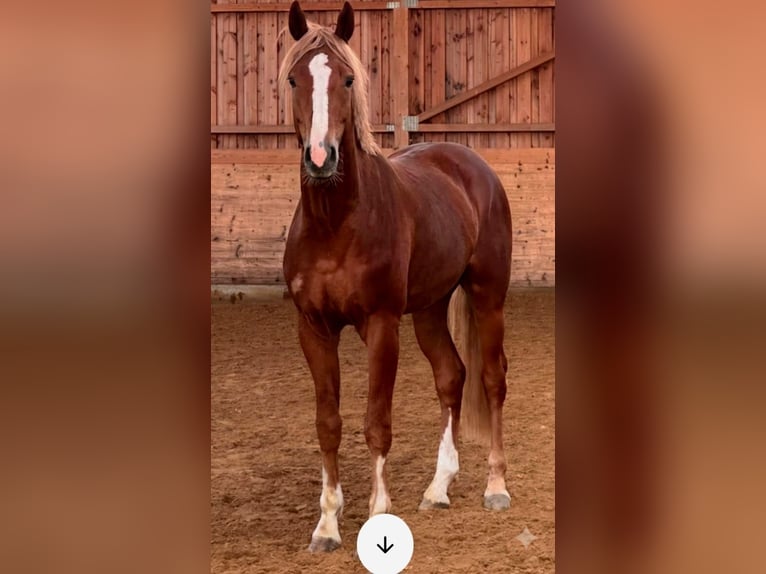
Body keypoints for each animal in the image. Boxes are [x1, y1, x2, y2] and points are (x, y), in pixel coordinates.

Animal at [280, 1, 513, 552]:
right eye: (295, 79)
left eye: (346, 79)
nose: (320, 159)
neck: (335, 225)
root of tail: (470, 163)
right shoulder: (312, 329)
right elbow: (328, 423)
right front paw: (326, 525)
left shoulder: (382, 325)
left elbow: (376, 422)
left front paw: (378, 512)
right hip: (429, 309)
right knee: (452, 377)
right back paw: (438, 489)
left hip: (488, 296)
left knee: (492, 379)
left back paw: (495, 486)